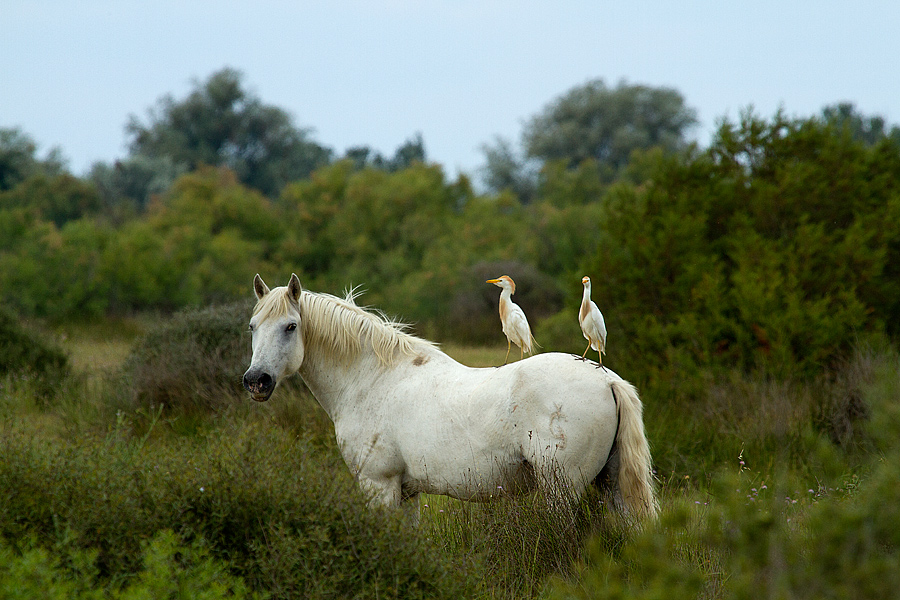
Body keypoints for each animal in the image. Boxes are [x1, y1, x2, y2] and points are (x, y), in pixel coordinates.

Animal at [242, 274, 658, 520]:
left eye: (290, 326)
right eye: (252, 326)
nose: (256, 381)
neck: (372, 379)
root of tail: (606, 380)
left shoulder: (379, 487)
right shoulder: (405, 493)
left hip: (561, 491)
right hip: (612, 487)